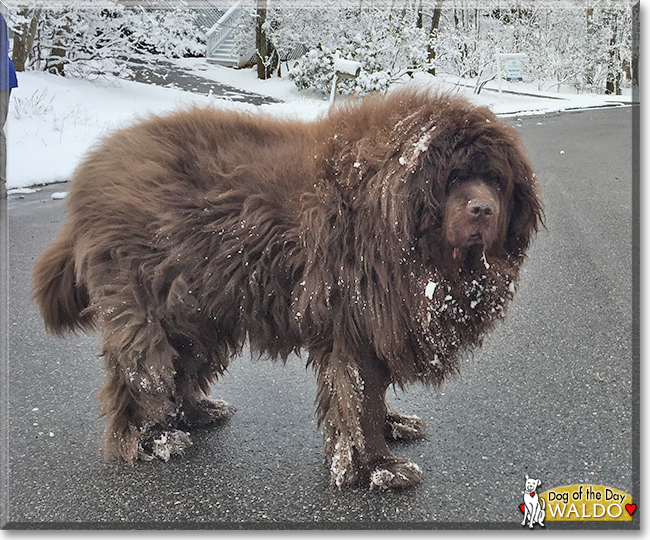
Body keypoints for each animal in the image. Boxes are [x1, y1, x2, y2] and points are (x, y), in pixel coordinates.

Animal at [34, 88, 540, 490]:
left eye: (496, 180)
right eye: (453, 178)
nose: (482, 209)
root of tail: (92, 174)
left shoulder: (378, 323)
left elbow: (373, 393)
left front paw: (392, 427)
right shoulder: (353, 324)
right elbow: (360, 398)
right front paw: (378, 467)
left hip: (200, 308)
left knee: (182, 362)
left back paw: (196, 412)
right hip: (149, 304)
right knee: (140, 372)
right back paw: (150, 439)